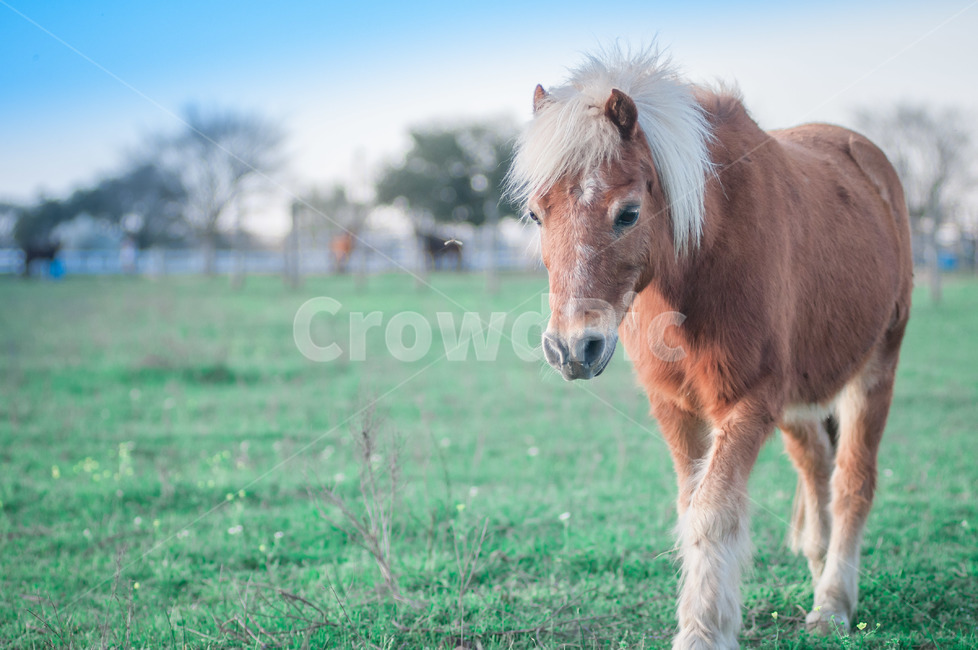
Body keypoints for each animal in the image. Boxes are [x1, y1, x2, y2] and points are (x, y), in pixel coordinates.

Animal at [507, 47, 912, 649]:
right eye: (537, 213)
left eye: (628, 213)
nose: (573, 350)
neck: (707, 257)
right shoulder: (676, 409)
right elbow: (689, 505)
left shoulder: (749, 405)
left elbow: (712, 512)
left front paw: (702, 630)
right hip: (798, 400)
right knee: (815, 460)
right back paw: (819, 568)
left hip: (875, 368)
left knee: (852, 482)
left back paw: (833, 602)